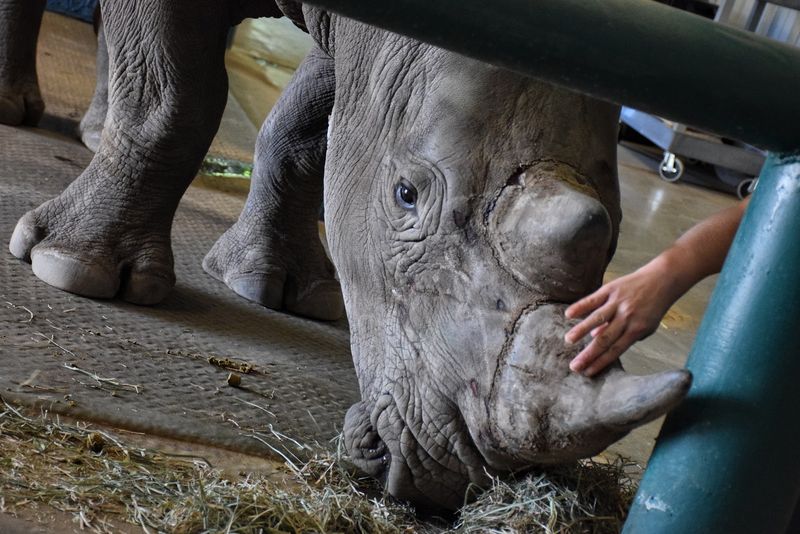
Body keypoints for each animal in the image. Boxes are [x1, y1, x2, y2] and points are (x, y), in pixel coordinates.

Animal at [4, 0, 691, 510]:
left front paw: (280, 291)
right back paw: (22, 117)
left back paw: (86, 130)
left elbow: (311, 131)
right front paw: (78, 274)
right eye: (406, 194)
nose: (451, 479)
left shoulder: (378, 55)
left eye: (611, 239)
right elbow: (175, 94)